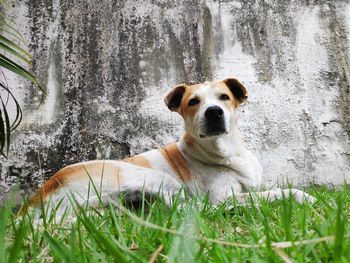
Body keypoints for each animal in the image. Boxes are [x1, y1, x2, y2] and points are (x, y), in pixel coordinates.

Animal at [27, 78, 316, 219]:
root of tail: (36, 200)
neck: (226, 154)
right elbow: (277, 192)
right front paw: (305, 197)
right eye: (193, 102)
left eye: (224, 97)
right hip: (154, 177)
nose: (214, 112)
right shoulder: (223, 196)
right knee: (192, 209)